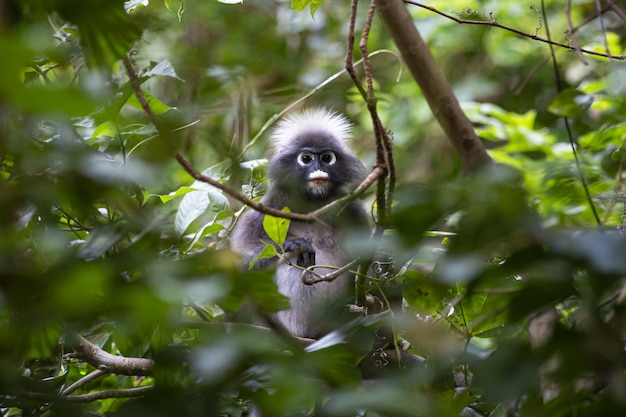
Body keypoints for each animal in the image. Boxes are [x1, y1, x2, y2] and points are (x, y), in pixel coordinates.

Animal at [232, 108, 368, 338]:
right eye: (306, 158)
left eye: (326, 158)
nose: (318, 168)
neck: (312, 204)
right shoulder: (268, 207)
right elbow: (241, 266)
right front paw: (292, 244)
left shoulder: (353, 209)